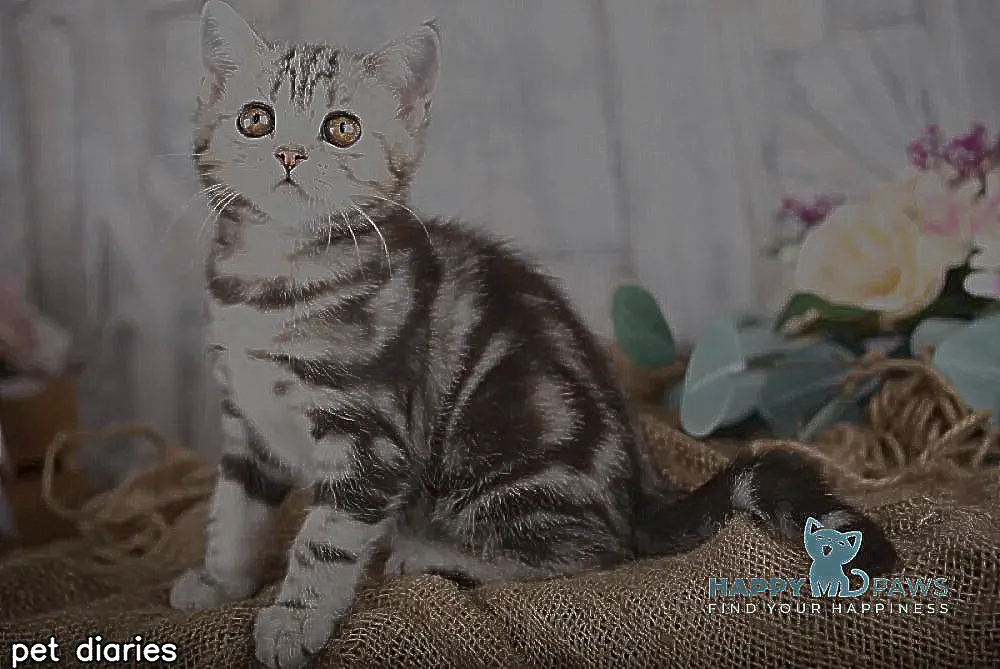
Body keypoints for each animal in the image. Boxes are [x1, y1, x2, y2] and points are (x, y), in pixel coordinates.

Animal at [168, 3, 899, 667]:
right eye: (256, 119)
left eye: (341, 128)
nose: (290, 153)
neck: (273, 277)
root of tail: (642, 489)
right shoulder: (246, 422)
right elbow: (233, 510)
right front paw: (220, 582)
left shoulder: (370, 436)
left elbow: (324, 538)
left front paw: (294, 618)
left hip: (508, 450)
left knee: (593, 551)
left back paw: (432, 551)